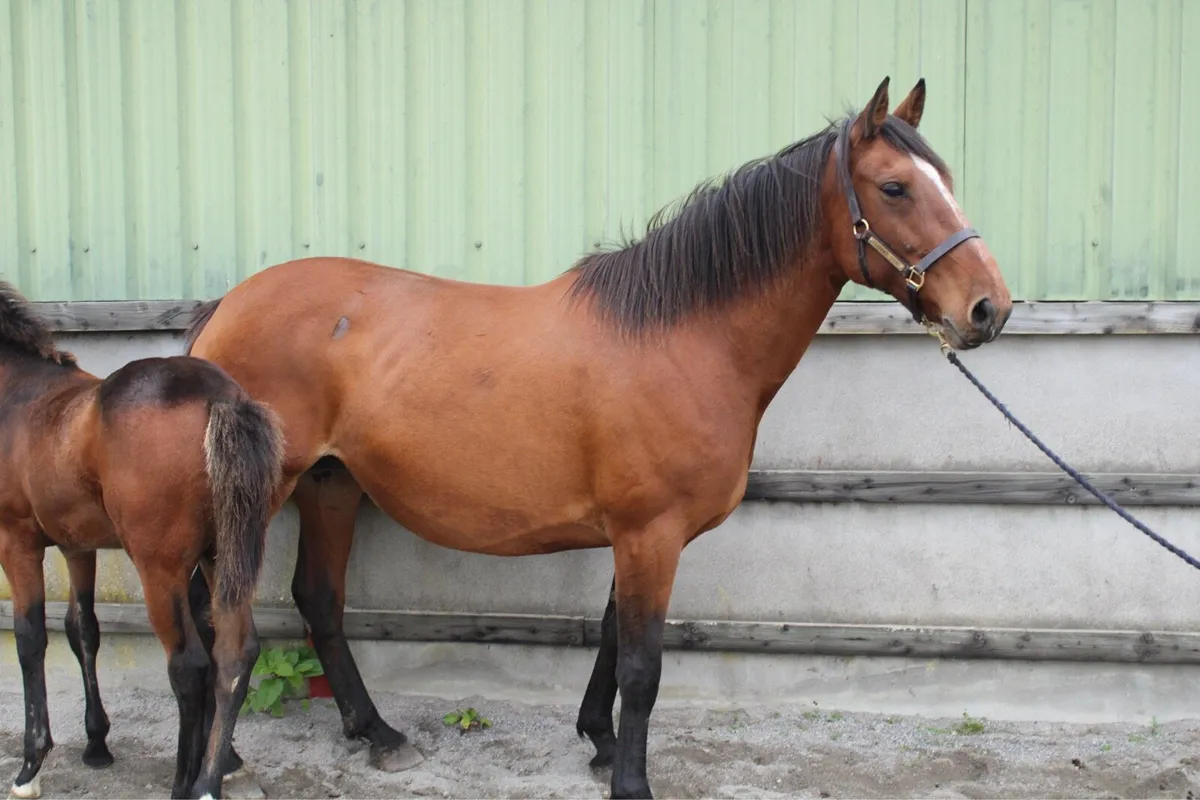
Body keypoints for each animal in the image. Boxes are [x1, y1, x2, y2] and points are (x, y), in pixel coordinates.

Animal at [0, 281, 284, 799]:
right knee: (235, 653)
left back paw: (185, 784)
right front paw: (96, 744)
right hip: (222, 559)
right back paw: (210, 779)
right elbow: (82, 629)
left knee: (189, 666)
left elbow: (30, 638)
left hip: (160, 568)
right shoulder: (77, 545)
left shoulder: (16, 541)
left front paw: (31, 765)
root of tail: (220, 398)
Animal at [183, 77, 1013, 798]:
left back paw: (375, 734)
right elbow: (642, 666)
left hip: (331, 484)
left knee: (318, 600)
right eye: (895, 188)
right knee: (228, 616)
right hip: (265, 493)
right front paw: (631, 781)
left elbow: (613, 640)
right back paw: (231, 761)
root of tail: (226, 308)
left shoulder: (639, 533)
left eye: (945, 178)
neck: (684, 337)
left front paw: (601, 742)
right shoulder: (651, 532)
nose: (988, 308)